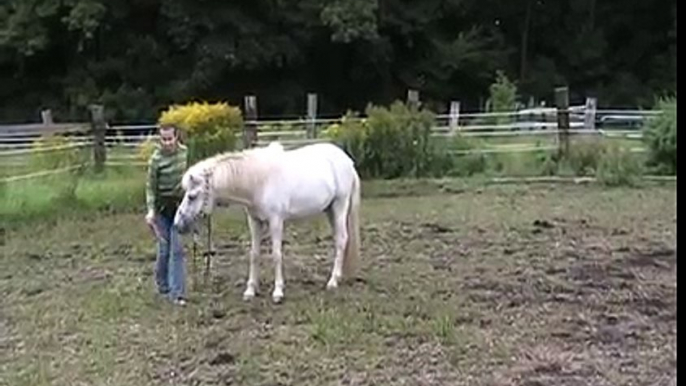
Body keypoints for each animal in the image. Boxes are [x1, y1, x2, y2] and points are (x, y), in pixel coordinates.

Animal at [175, 140, 362, 304]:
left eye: (192, 196)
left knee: (341, 240)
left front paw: (278, 292)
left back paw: (333, 281)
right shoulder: (254, 222)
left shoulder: (276, 221)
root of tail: (348, 161)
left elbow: (276, 254)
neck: (259, 181)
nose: (178, 224)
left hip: (339, 206)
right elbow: (254, 254)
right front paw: (250, 291)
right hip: (329, 210)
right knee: (339, 239)